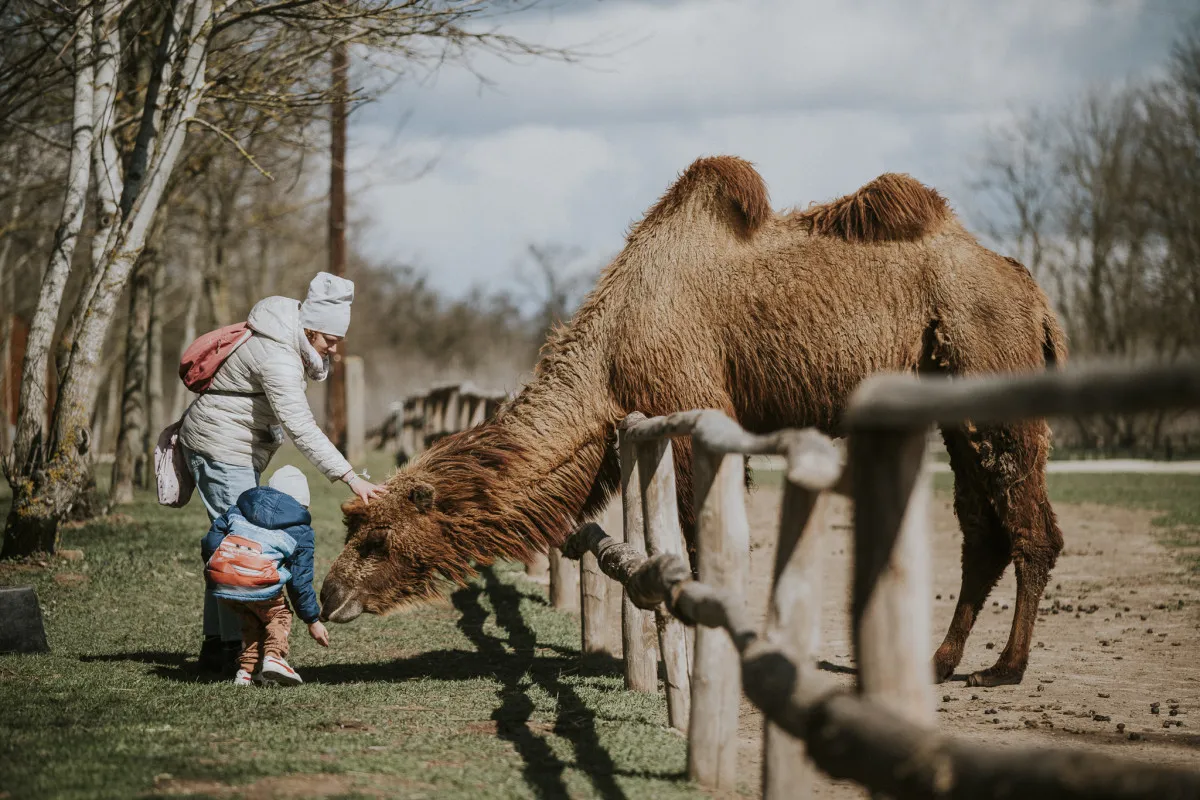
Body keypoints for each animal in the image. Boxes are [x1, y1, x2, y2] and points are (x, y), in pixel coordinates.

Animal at [321, 158, 1070, 690]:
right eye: (354, 526)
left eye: (377, 539)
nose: (327, 595)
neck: (611, 352)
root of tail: (1033, 294)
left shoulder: (689, 413)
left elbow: (697, 540)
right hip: (953, 407)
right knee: (982, 530)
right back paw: (941, 661)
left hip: (989, 368)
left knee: (1031, 526)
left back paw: (1005, 668)